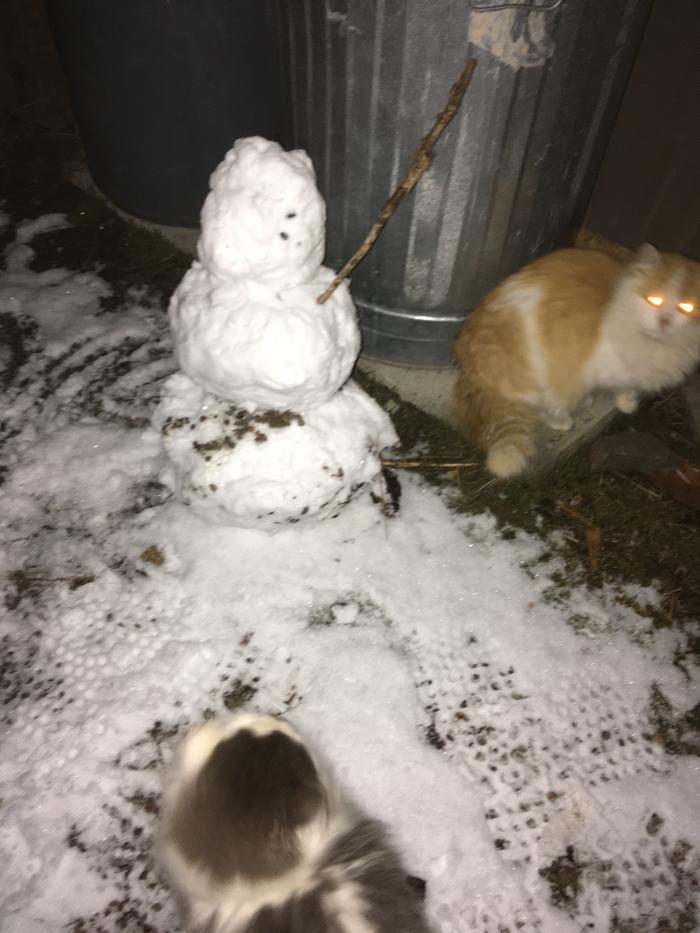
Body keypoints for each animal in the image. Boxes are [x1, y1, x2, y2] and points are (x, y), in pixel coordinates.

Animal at [454, 246, 700, 476]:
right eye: (654, 300)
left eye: (686, 307)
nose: (664, 320)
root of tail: (470, 369)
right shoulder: (586, 369)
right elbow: (590, 391)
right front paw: (585, 406)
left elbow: (627, 386)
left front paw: (626, 403)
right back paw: (561, 420)